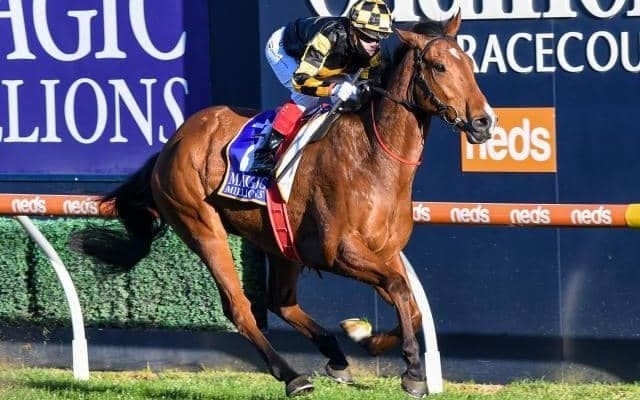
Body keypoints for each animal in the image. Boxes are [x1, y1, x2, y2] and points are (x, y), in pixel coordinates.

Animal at [72, 14, 494, 398]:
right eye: (439, 66)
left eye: (469, 63)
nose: (483, 122)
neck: (373, 158)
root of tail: (173, 142)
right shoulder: (340, 251)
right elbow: (399, 290)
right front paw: (410, 370)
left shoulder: (386, 252)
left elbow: (411, 303)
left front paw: (368, 339)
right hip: (201, 226)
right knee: (240, 308)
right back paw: (292, 376)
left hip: (279, 240)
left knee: (281, 302)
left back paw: (334, 355)